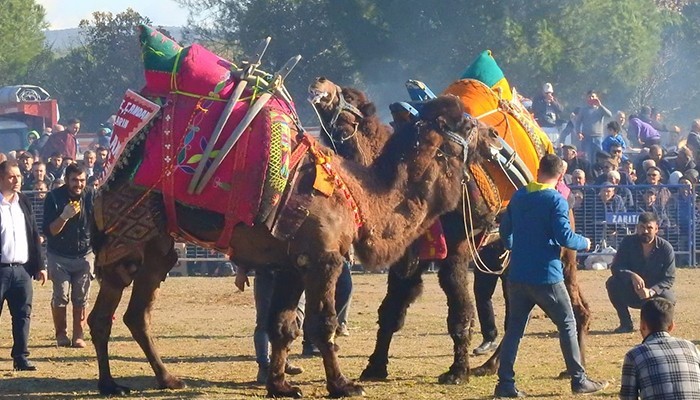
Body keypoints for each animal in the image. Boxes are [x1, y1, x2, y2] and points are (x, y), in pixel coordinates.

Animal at [87, 93, 494, 396]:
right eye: (466, 125)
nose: (491, 133)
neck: (360, 197)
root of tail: (104, 177)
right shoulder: (323, 259)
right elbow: (322, 323)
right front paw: (343, 385)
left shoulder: (291, 263)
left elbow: (282, 324)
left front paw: (280, 385)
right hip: (127, 236)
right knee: (109, 309)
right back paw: (110, 384)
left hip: (157, 246)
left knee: (134, 313)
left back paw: (164, 379)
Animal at [306, 77, 592, 384]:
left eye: (348, 96)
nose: (319, 82)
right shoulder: (408, 256)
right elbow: (391, 309)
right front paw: (374, 368)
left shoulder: (456, 249)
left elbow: (459, 312)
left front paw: (457, 372)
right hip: (506, 256)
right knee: (519, 313)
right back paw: (490, 365)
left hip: (560, 251)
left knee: (573, 305)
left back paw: (571, 366)